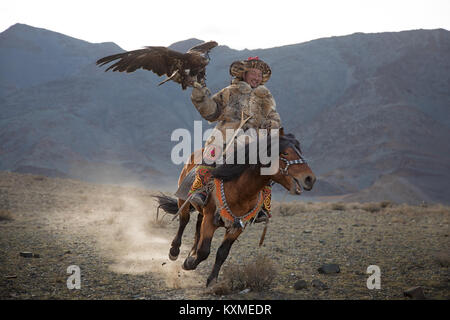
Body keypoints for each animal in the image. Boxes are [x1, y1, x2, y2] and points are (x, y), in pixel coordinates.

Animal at [153, 131, 314, 286]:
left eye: (300, 151)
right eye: (285, 153)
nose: (310, 179)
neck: (241, 190)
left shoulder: (238, 226)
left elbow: (222, 253)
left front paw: (212, 280)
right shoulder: (210, 220)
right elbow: (204, 251)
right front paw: (189, 264)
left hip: (202, 212)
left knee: (198, 226)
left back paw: (191, 252)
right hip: (184, 201)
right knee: (184, 221)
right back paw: (174, 251)